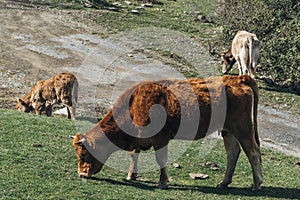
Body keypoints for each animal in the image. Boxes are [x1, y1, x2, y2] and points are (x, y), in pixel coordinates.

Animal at [71, 75, 262, 191]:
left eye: (83, 154)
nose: (81, 174)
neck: (133, 106)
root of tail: (237, 78)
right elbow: (134, 155)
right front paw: (132, 175)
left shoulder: (160, 138)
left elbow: (160, 159)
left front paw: (162, 182)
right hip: (229, 131)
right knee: (233, 153)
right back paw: (224, 182)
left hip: (243, 128)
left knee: (253, 152)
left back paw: (257, 184)